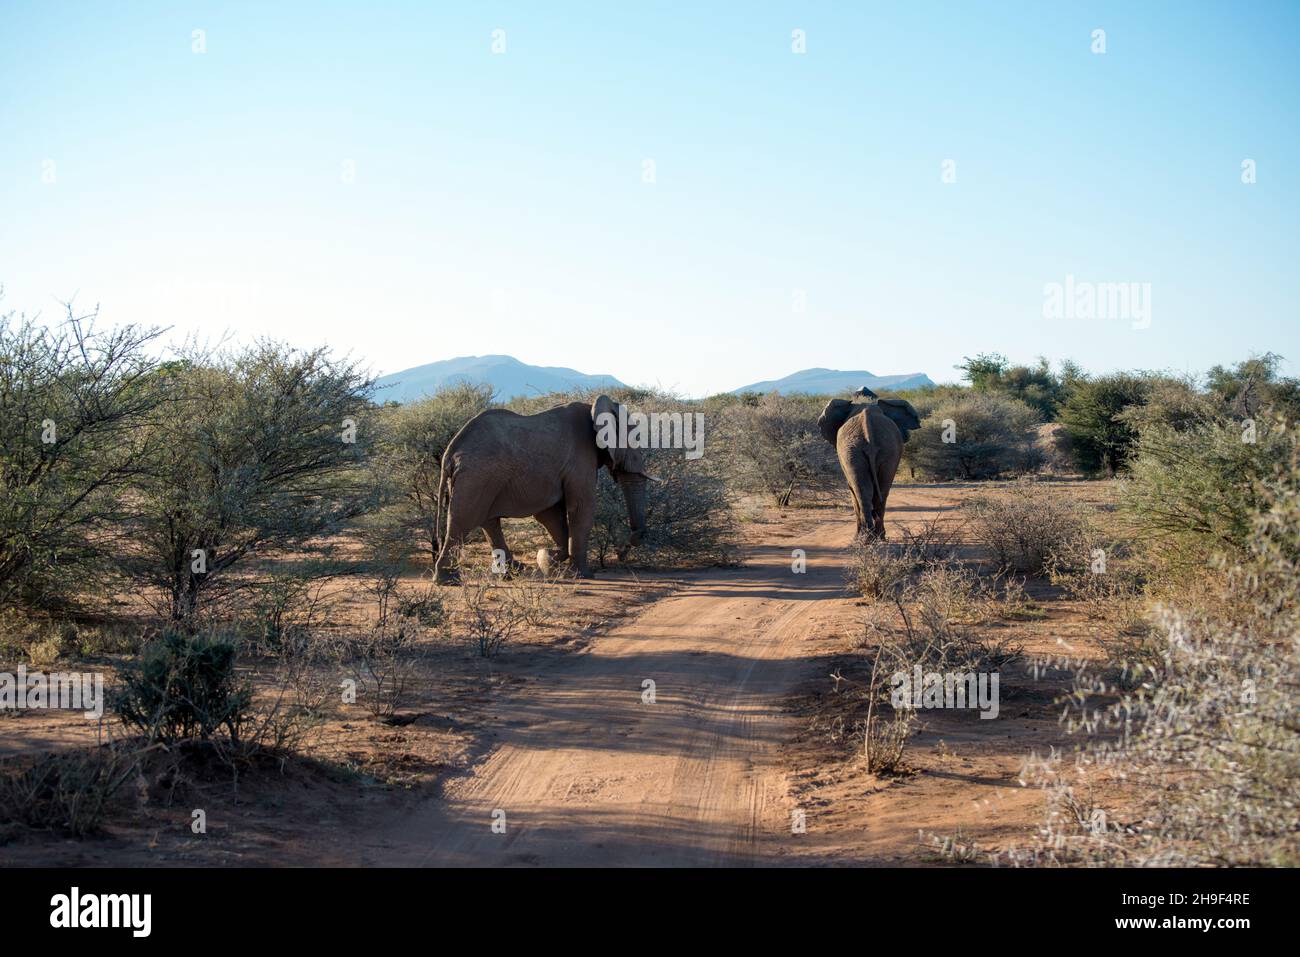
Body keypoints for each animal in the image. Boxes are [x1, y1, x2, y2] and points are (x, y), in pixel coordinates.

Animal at [433, 394, 653, 583]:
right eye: (635, 440)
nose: (634, 539)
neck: (593, 407)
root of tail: (450, 452)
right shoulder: (580, 458)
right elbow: (581, 508)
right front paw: (582, 575)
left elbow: (549, 513)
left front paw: (547, 558)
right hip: (478, 475)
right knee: (463, 520)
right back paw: (448, 580)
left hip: (481, 478)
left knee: (487, 521)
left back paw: (514, 572)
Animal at [817, 396, 922, 540]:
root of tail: (869, 436)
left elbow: (852, 490)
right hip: (874, 450)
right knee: (878, 491)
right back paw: (874, 537)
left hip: (854, 451)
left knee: (864, 492)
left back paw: (867, 538)